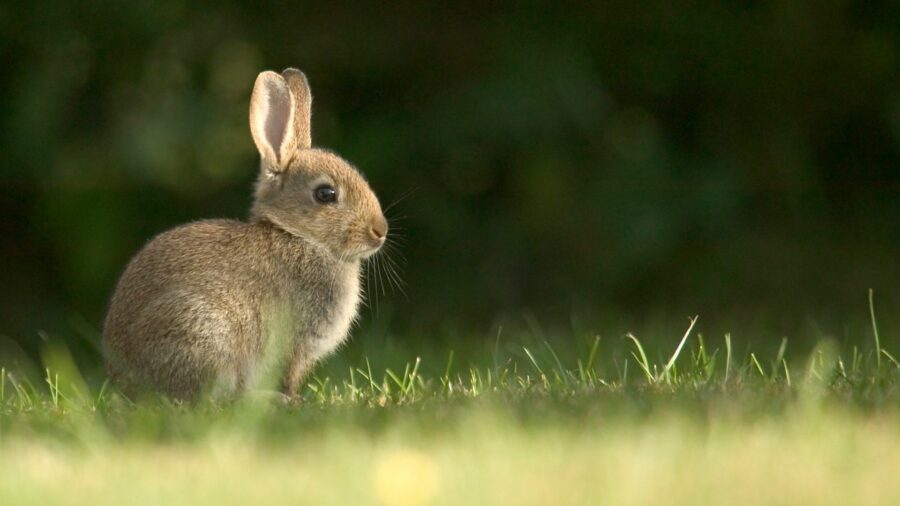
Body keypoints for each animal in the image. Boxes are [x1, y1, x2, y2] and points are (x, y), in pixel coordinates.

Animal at [102, 68, 388, 401]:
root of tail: (125, 382)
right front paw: (293, 399)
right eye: (325, 194)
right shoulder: (295, 343)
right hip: (204, 333)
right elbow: (288, 375)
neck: (297, 235)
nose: (380, 231)